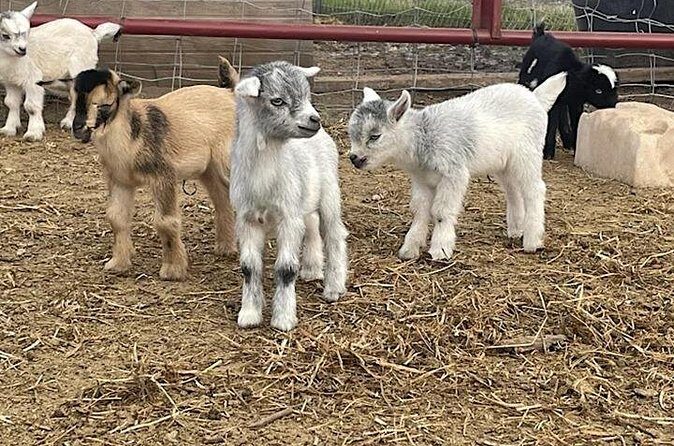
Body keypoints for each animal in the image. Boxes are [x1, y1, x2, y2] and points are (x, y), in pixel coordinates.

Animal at [0, 2, 121, 141]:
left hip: (82, 65)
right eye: (5, 35)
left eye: (26, 33)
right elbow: (11, 103)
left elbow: (31, 106)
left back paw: (70, 123)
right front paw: (8, 129)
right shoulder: (10, 82)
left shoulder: (33, 79)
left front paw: (33, 133)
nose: (22, 49)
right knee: (74, 96)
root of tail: (93, 33)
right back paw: (68, 122)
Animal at [42, 59, 239, 280]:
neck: (131, 137)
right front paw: (118, 263)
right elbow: (116, 218)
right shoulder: (120, 180)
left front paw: (172, 270)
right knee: (222, 200)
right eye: (72, 101)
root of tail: (230, 93)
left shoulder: (163, 175)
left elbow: (165, 221)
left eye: (105, 104)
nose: (78, 129)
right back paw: (225, 248)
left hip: (228, 162)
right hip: (209, 170)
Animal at [231, 61, 348, 332]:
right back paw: (312, 270)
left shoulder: (288, 217)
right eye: (277, 101)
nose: (314, 119)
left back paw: (334, 287)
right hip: (304, 199)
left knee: (335, 234)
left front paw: (283, 319)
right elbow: (249, 268)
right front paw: (249, 315)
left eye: (307, 95)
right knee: (312, 226)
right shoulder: (247, 218)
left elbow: (285, 269)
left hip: (330, 193)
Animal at [348, 73, 568, 261]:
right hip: (503, 164)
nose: (354, 158)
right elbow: (420, 211)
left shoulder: (454, 173)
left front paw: (440, 250)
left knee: (534, 189)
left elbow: (441, 212)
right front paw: (409, 249)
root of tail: (534, 97)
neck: (424, 137)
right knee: (513, 191)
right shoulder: (421, 179)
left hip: (527, 154)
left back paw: (532, 240)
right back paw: (515, 230)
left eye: (375, 136)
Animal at [518, 22, 619, 159]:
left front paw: (576, 148)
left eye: (613, 89)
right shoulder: (555, 101)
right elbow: (551, 125)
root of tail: (541, 35)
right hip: (525, 80)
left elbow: (576, 122)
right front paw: (548, 154)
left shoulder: (575, 102)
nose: (613, 104)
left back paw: (568, 142)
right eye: (598, 90)